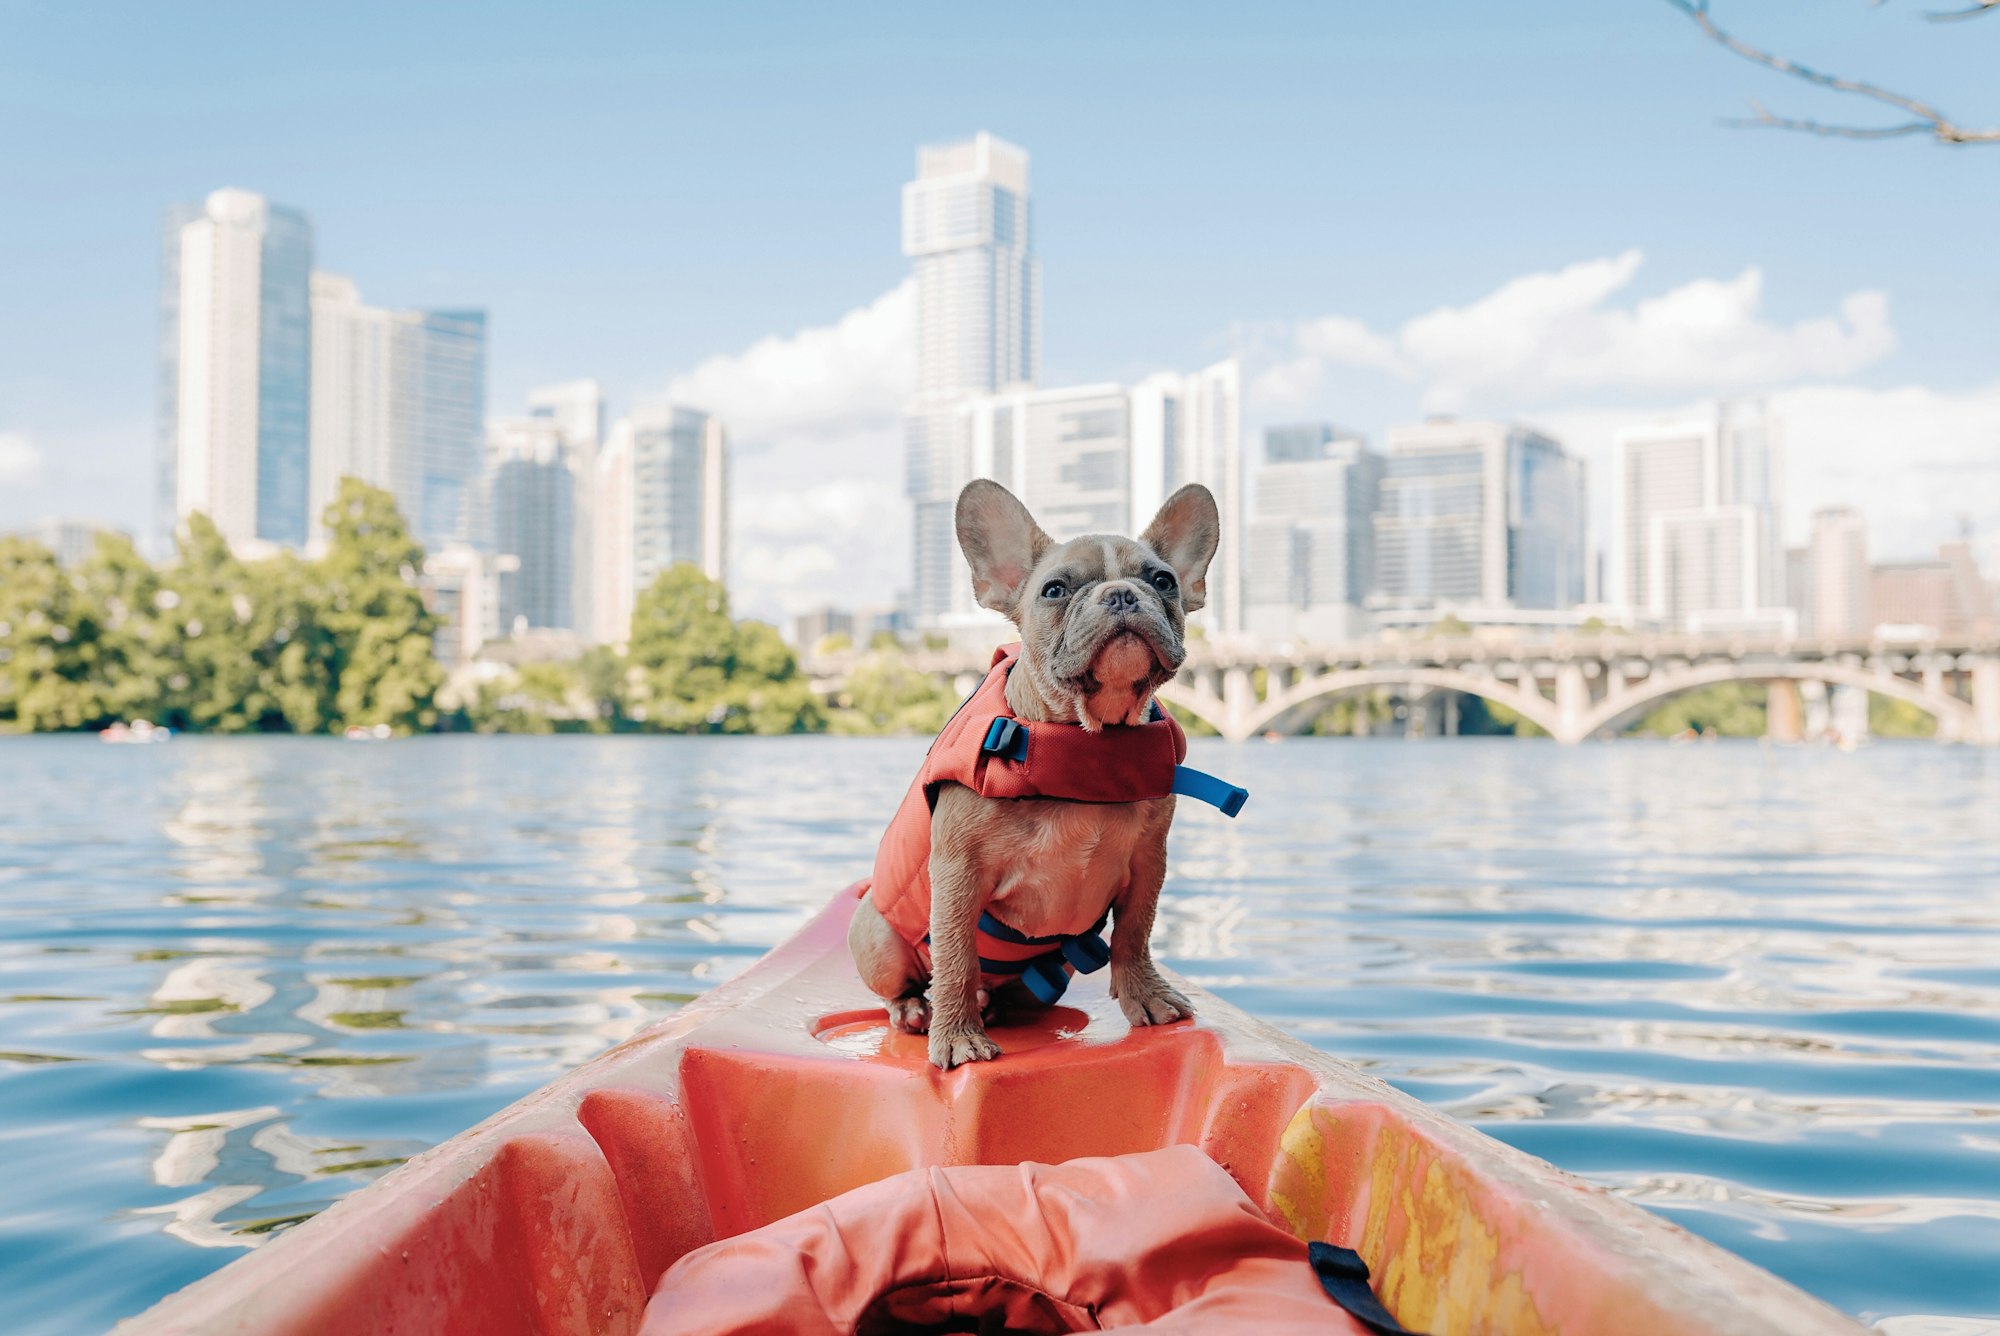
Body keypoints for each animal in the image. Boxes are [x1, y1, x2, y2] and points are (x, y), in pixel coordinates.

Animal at [844, 474, 1216, 1072]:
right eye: (1055, 590)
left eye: (1163, 581)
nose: (1121, 594)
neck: (1090, 737)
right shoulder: (957, 872)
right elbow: (955, 955)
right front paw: (957, 1036)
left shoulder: (1147, 862)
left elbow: (1135, 932)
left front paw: (1146, 995)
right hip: (875, 937)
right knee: (907, 984)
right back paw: (919, 1011)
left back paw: (1006, 1006)